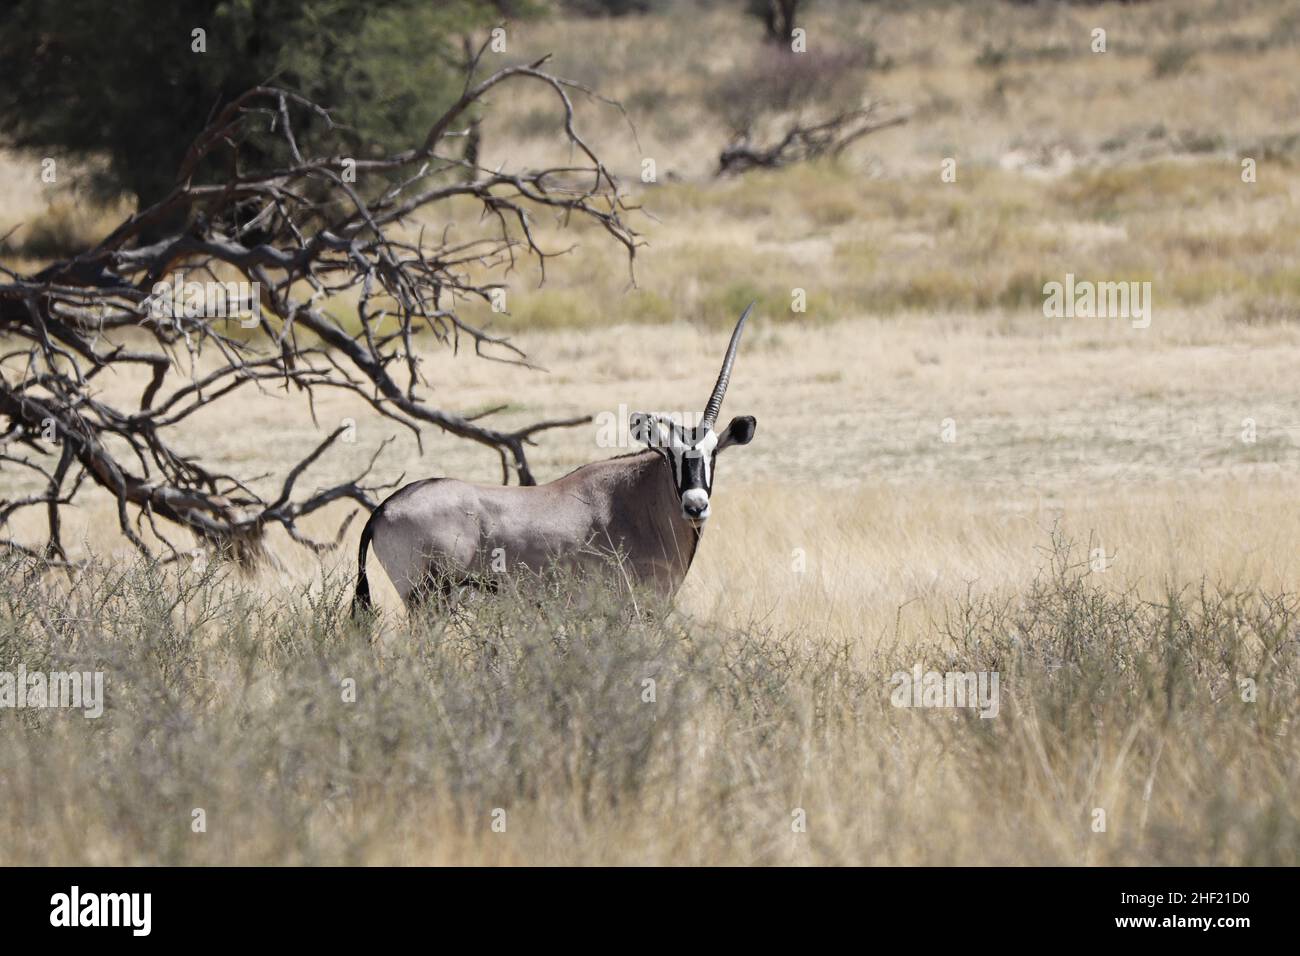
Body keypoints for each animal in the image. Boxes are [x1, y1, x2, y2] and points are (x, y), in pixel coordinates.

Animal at [353, 303, 759, 613]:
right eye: (671, 455)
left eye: (713, 452)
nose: (695, 505)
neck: (639, 500)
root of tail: (384, 509)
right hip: (427, 600)